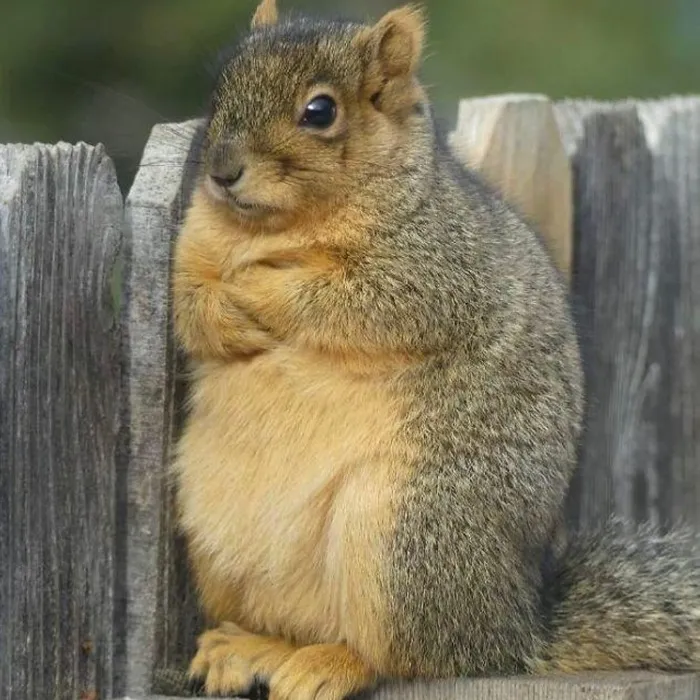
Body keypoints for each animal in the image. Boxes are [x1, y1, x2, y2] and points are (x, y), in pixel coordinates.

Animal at [169, 0, 700, 698]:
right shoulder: (191, 246)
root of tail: (515, 630)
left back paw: (329, 665)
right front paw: (225, 312)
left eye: (320, 111)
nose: (222, 171)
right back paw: (249, 648)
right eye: (220, 88)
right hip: (214, 537)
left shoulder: (436, 265)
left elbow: (353, 300)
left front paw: (259, 286)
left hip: (402, 534)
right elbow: (187, 305)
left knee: (409, 656)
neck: (274, 226)